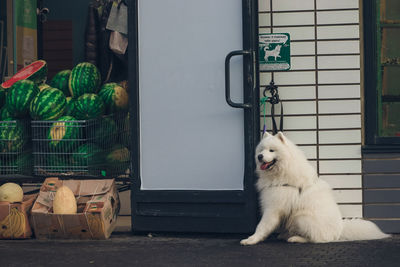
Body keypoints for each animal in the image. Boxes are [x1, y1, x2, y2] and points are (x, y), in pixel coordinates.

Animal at [241, 132, 390, 245]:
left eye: (271, 150)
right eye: (261, 150)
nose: (259, 156)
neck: (282, 171)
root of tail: (340, 230)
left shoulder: (273, 208)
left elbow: (262, 226)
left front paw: (251, 239)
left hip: (301, 217)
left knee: (316, 239)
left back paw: (295, 238)